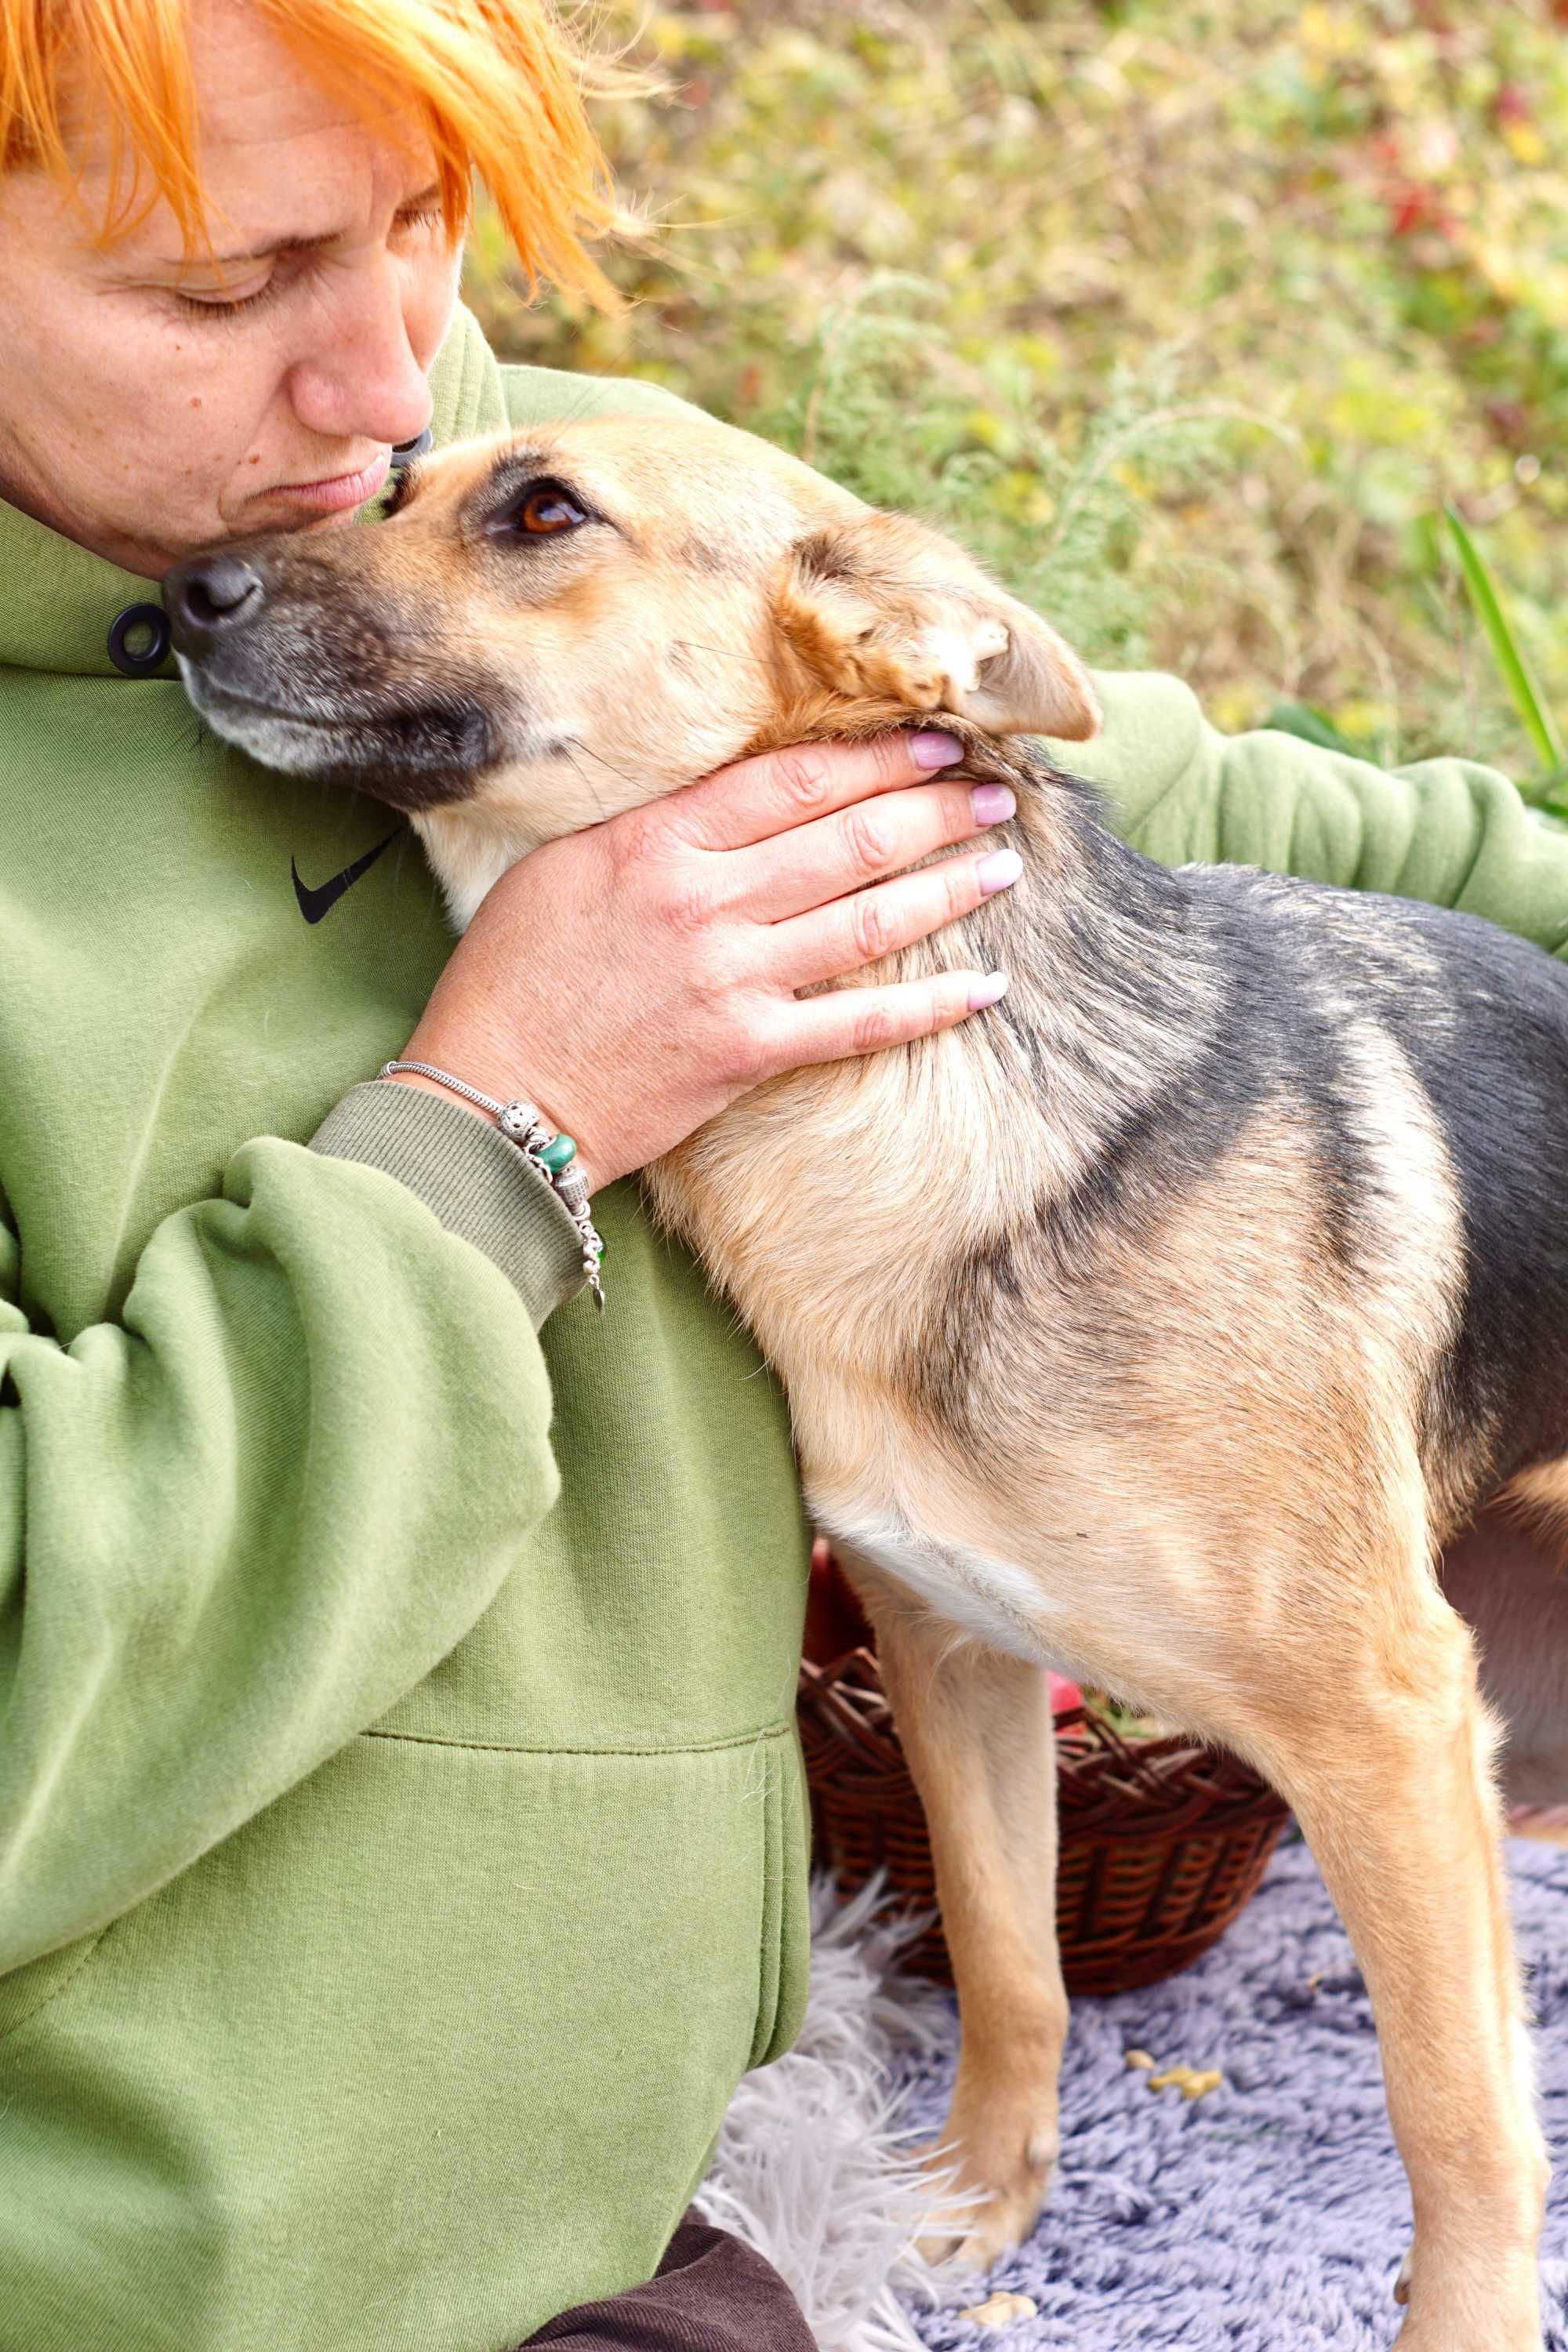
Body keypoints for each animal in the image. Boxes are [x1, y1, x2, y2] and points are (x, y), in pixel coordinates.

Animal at [169, 423, 1568, 2352]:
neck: (914, 1106)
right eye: (394, 480)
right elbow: (1007, 1959)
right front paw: (972, 2206)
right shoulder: (950, 1651)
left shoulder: (1386, 1724)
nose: (182, 592)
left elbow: (1456, 2121)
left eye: (543, 509)